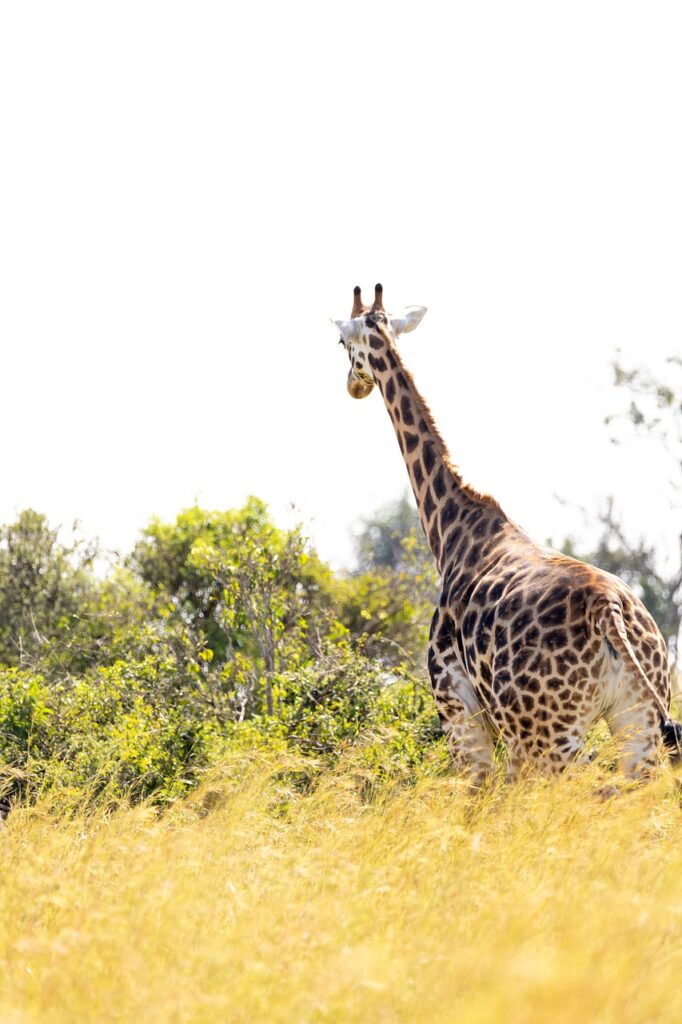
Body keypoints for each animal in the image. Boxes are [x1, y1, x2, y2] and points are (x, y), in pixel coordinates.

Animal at [331, 284, 675, 786]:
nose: (353, 387)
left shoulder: (458, 710)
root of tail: (610, 610)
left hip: (547, 735)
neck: (450, 527)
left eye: (341, 343)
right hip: (639, 721)